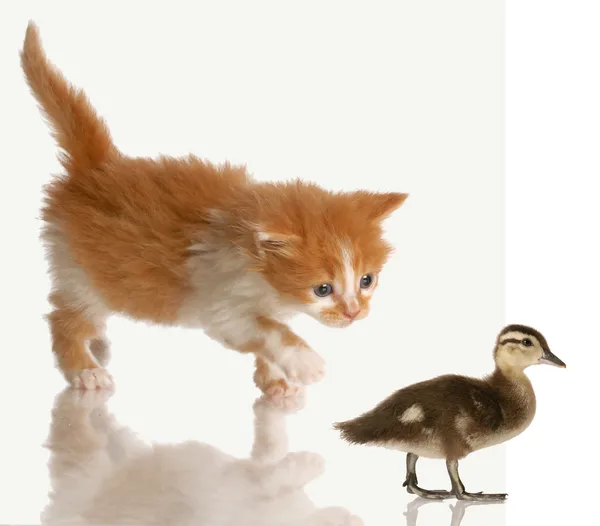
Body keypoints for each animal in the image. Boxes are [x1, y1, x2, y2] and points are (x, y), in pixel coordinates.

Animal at [19, 21, 408, 400]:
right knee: (64, 316)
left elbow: (268, 333)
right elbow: (268, 330)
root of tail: (98, 168)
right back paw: (85, 369)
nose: (354, 313)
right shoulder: (220, 305)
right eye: (323, 289)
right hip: (80, 269)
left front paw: (274, 381)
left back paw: (96, 345)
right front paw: (304, 362)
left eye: (367, 280)